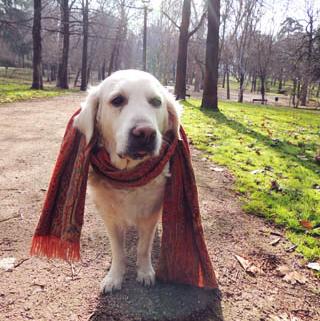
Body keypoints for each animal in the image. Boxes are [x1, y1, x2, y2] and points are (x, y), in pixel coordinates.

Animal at [74, 70, 181, 292]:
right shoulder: (110, 217)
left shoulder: (149, 216)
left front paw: (145, 272)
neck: (128, 177)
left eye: (156, 102)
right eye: (117, 100)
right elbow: (118, 251)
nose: (145, 133)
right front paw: (114, 276)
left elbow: (143, 248)